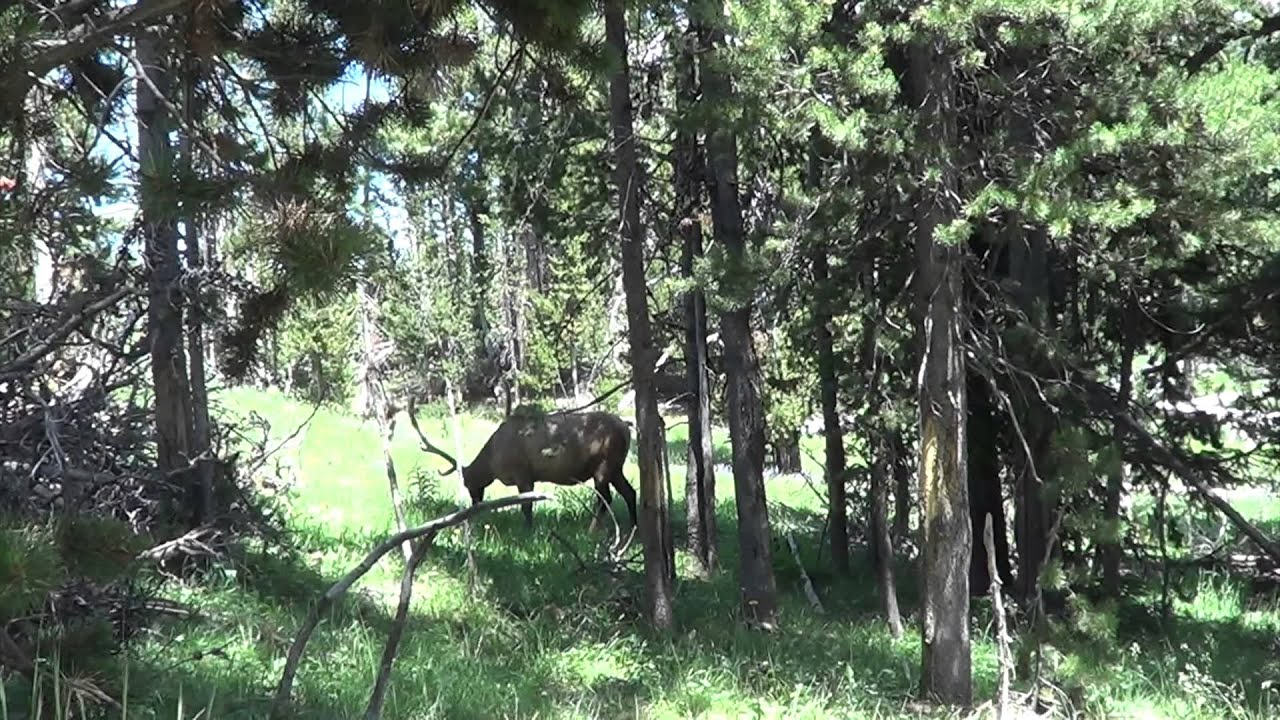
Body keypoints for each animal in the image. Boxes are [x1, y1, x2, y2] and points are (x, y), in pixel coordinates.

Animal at [404, 399, 634, 530]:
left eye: (468, 483)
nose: (475, 504)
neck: (492, 460)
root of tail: (627, 429)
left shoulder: (523, 473)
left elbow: (526, 506)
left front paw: (528, 532)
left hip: (603, 464)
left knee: (605, 498)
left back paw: (592, 531)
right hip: (616, 467)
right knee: (629, 492)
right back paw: (634, 528)